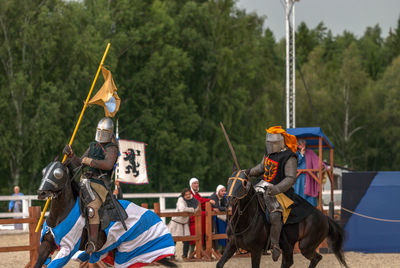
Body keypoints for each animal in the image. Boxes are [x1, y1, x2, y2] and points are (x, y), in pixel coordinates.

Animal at [216, 171, 346, 266]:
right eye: (229, 180)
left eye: (244, 182)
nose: (229, 199)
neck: (245, 220)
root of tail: (325, 217)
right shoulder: (231, 245)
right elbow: (219, 264)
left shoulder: (256, 250)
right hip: (291, 245)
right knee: (290, 261)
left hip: (306, 246)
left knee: (315, 258)